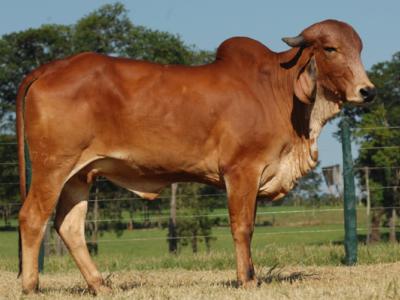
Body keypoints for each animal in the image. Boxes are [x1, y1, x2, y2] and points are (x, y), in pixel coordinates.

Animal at [16, 19, 376, 294]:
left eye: (359, 48)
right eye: (330, 49)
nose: (367, 91)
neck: (278, 90)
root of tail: (52, 67)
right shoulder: (241, 170)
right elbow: (242, 227)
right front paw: (247, 280)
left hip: (80, 173)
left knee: (69, 226)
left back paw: (100, 284)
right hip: (53, 167)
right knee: (32, 218)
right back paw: (31, 286)